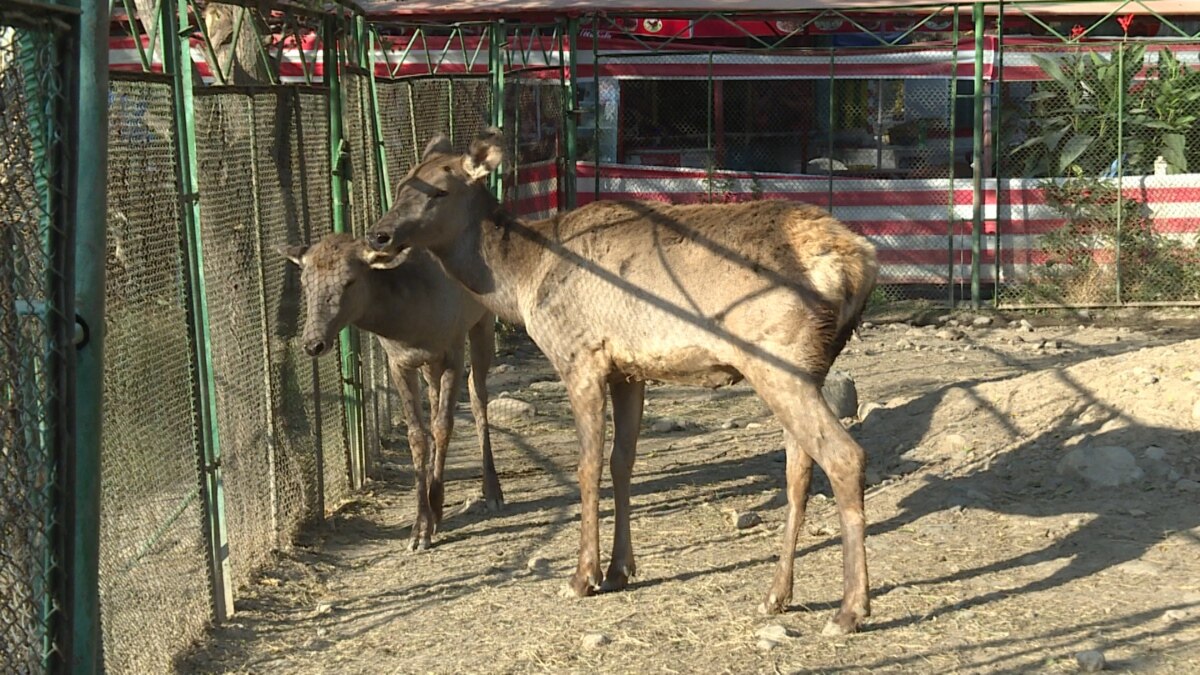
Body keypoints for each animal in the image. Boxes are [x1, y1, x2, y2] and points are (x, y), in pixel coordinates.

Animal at [280, 234, 501, 550]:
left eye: (349, 280)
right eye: (305, 282)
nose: (313, 343)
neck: (410, 325)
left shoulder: (453, 347)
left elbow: (444, 425)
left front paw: (433, 512)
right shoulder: (399, 361)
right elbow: (417, 435)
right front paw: (422, 526)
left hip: (482, 318)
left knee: (477, 392)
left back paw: (492, 490)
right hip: (431, 365)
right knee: (436, 400)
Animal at [364, 128, 883, 634]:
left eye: (439, 190)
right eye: (402, 183)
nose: (378, 234)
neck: (523, 281)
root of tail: (859, 264)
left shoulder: (580, 356)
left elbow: (588, 466)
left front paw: (582, 576)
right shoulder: (629, 370)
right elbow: (621, 463)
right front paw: (619, 569)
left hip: (779, 360)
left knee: (844, 456)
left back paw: (849, 610)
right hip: (806, 367)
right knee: (800, 469)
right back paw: (777, 594)